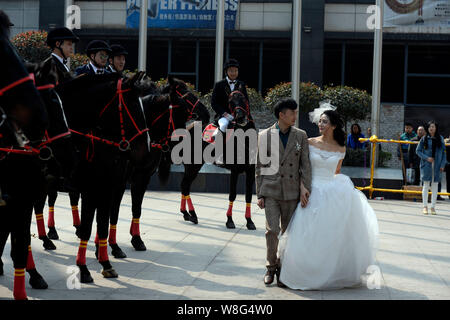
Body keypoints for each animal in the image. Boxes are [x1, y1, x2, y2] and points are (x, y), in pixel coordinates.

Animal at [56, 72, 149, 282]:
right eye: (132, 106)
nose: (146, 152)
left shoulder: (107, 187)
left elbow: (104, 224)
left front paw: (105, 262)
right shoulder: (91, 191)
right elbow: (87, 227)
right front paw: (83, 268)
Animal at [107, 76, 211, 256]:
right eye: (184, 94)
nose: (206, 113)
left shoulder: (142, 176)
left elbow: (136, 208)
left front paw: (136, 239)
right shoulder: (119, 179)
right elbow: (113, 210)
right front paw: (113, 245)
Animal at [178, 85, 256, 230]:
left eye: (243, 98)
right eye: (230, 102)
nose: (241, 118)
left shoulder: (250, 170)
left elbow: (248, 196)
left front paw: (249, 221)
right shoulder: (235, 170)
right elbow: (232, 194)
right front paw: (229, 220)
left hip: (194, 166)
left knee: (185, 185)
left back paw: (188, 214)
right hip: (193, 165)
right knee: (185, 185)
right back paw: (190, 214)